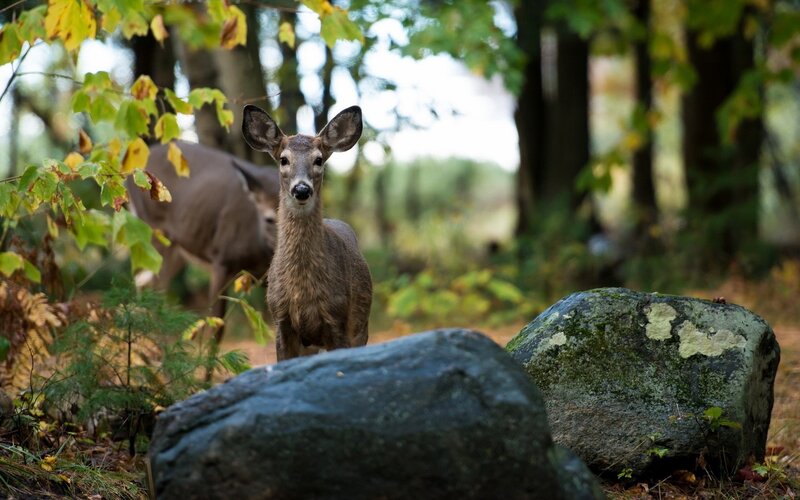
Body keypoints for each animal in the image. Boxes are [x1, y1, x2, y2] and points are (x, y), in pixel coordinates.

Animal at [126, 141, 279, 343]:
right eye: (269, 219)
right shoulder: (221, 259)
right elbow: (216, 326)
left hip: (178, 249)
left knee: (143, 279)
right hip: (156, 229)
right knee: (156, 286)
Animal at [241, 105, 372, 361]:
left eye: (318, 160)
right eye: (284, 159)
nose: (301, 189)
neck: (302, 292)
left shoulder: (338, 320)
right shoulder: (281, 320)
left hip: (361, 327)